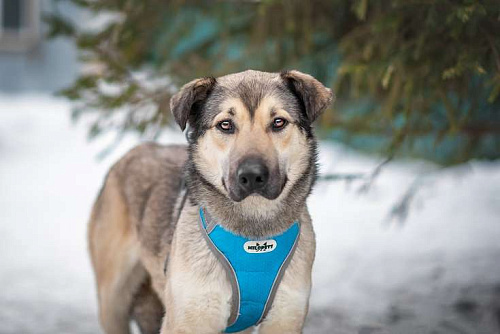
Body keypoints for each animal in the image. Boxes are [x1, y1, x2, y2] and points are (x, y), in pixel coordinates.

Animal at [88, 69, 334, 332]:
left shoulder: (284, 320)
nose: (252, 176)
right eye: (225, 125)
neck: (254, 232)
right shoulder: (190, 320)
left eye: (278, 122)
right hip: (113, 302)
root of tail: (134, 151)